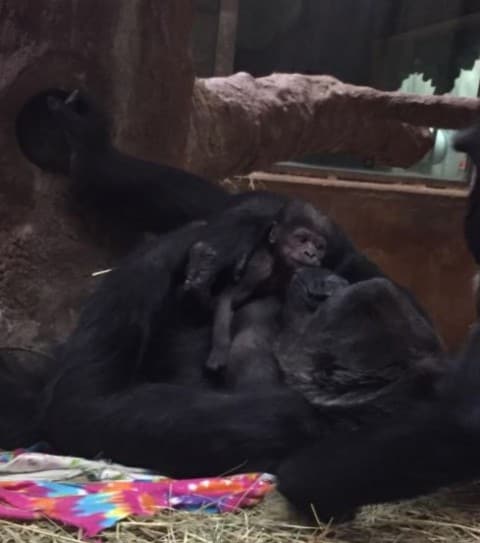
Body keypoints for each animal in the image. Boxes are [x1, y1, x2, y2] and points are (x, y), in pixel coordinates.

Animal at [186, 199, 332, 382]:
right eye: (302, 239)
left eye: (319, 247)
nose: (311, 254)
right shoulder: (259, 268)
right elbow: (229, 299)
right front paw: (219, 351)